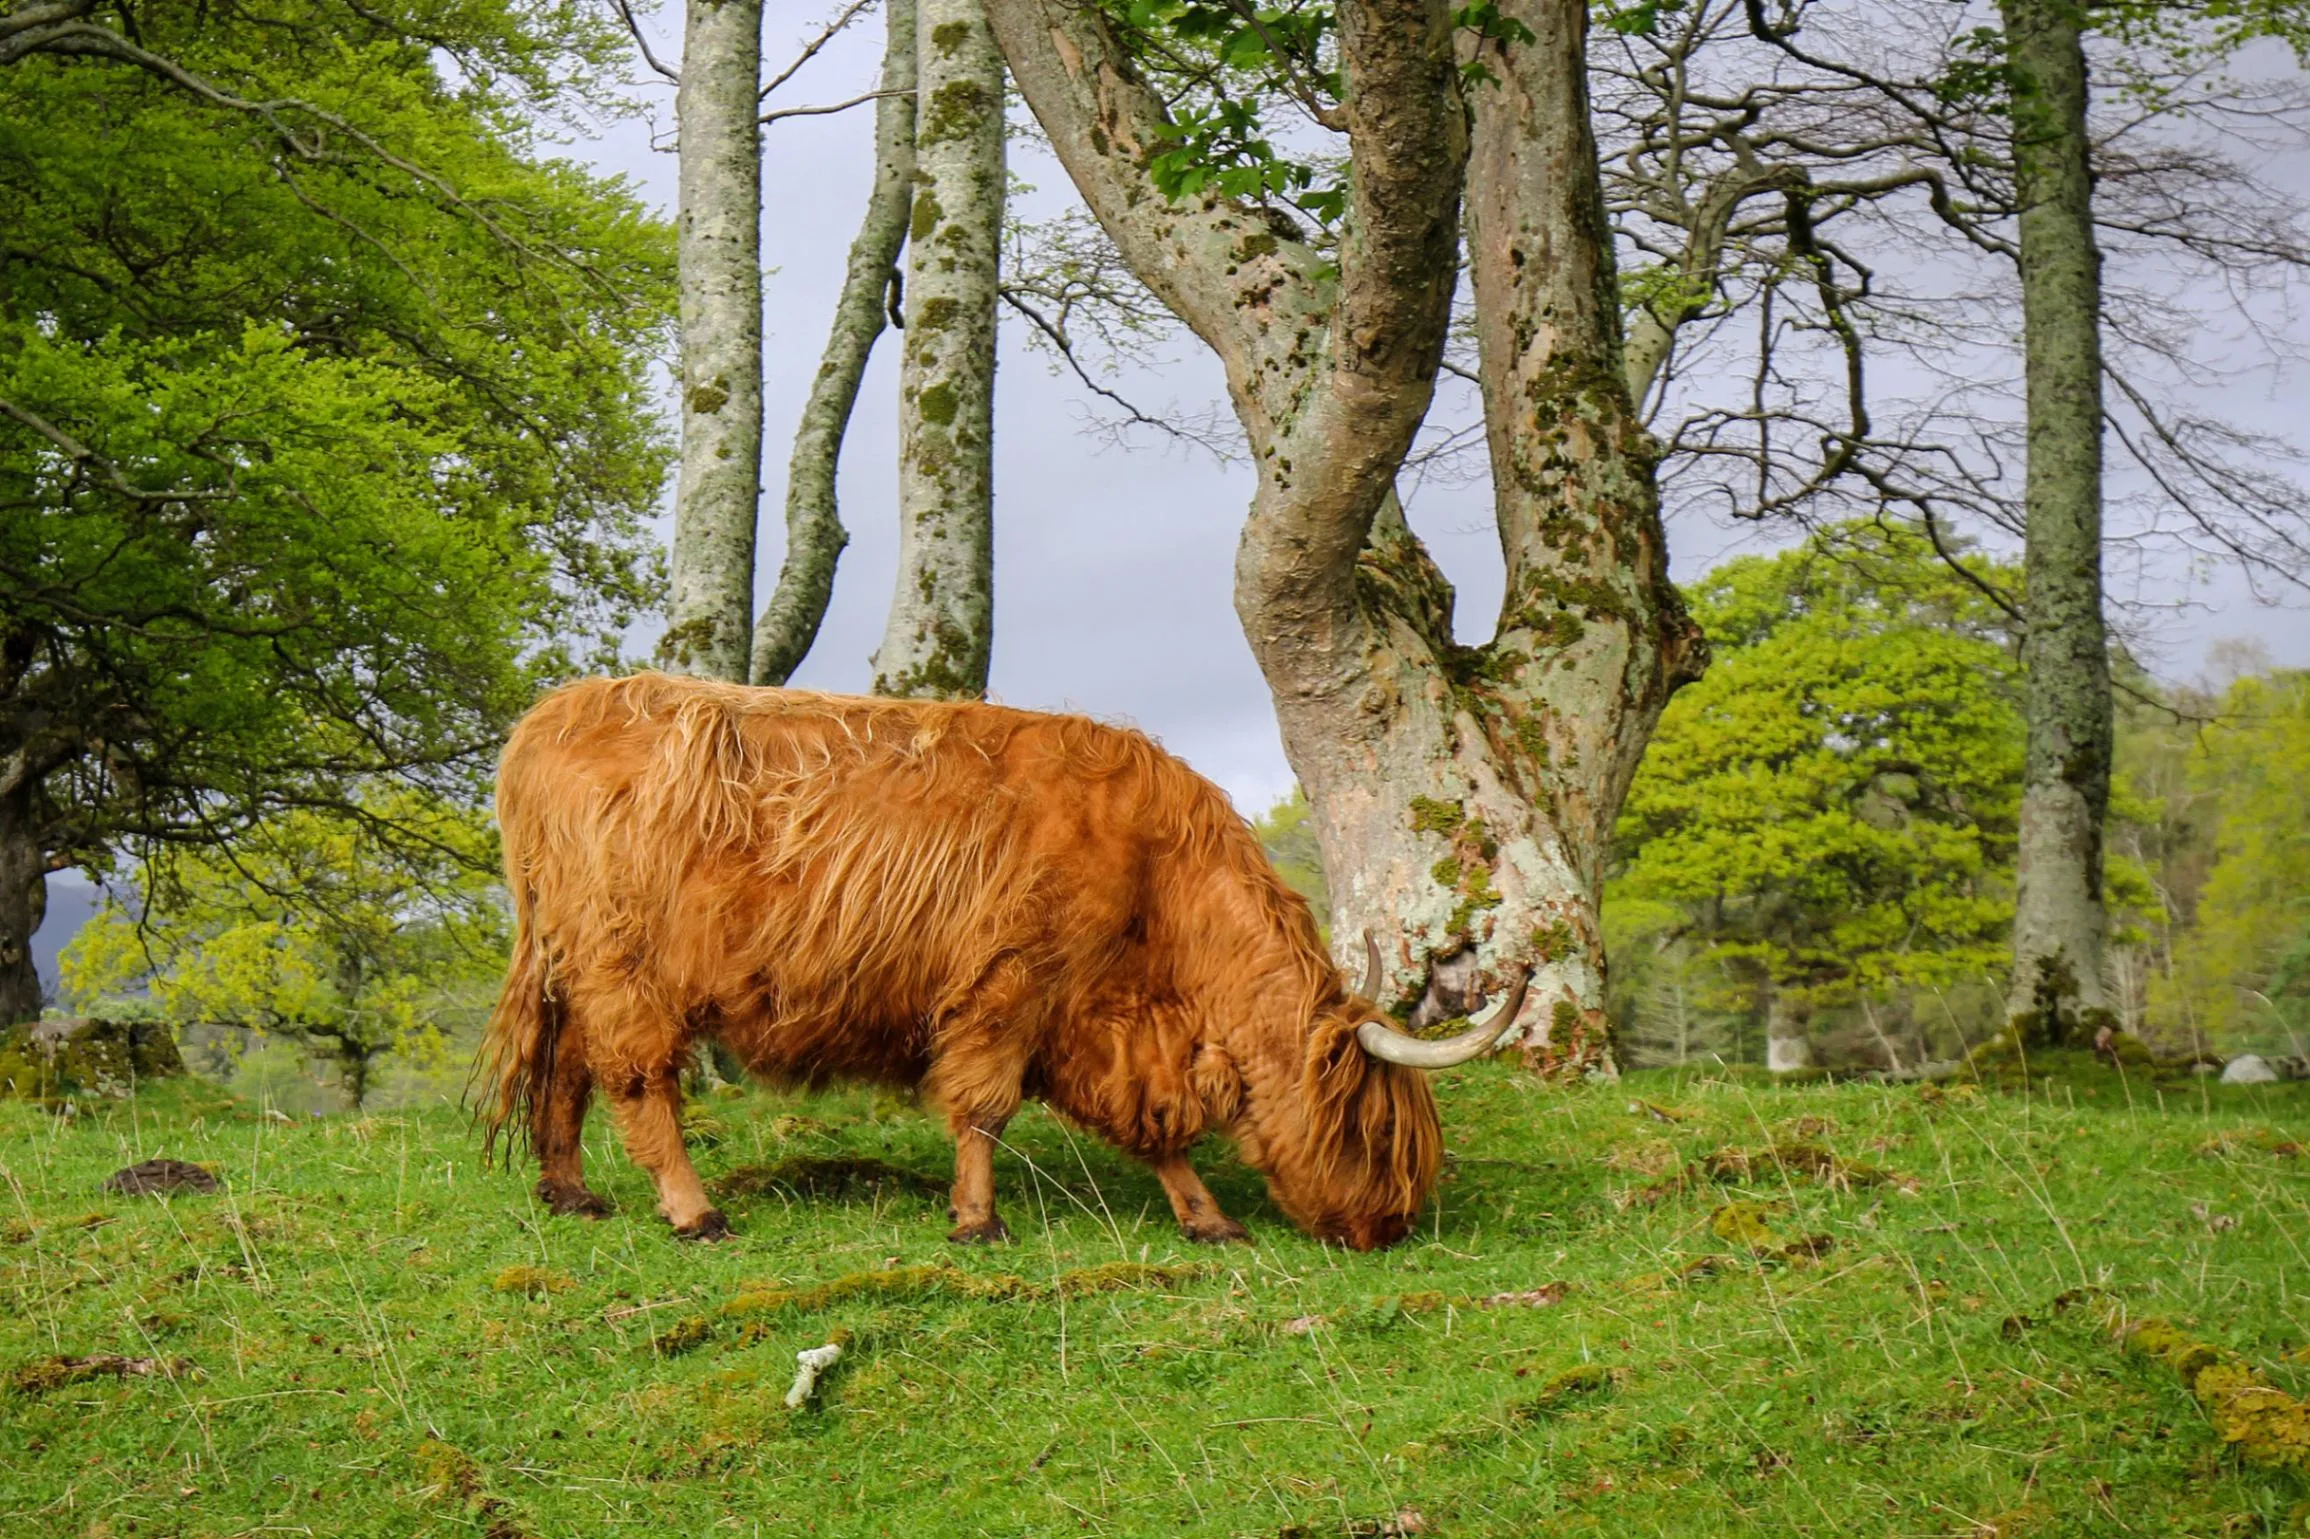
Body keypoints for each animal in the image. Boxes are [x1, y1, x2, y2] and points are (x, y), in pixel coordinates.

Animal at [477, 673, 1524, 1251]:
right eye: (1375, 1132)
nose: (1389, 1228)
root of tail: (552, 717)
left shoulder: (1100, 1022)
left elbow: (1159, 1131)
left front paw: (1206, 1218)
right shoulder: (1009, 985)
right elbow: (982, 1108)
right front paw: (978, 1220)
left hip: (574, 965)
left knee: (566, 1071)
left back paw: (571, 1193)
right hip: (626, 967)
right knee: (638, 1079)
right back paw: (693, 1213)